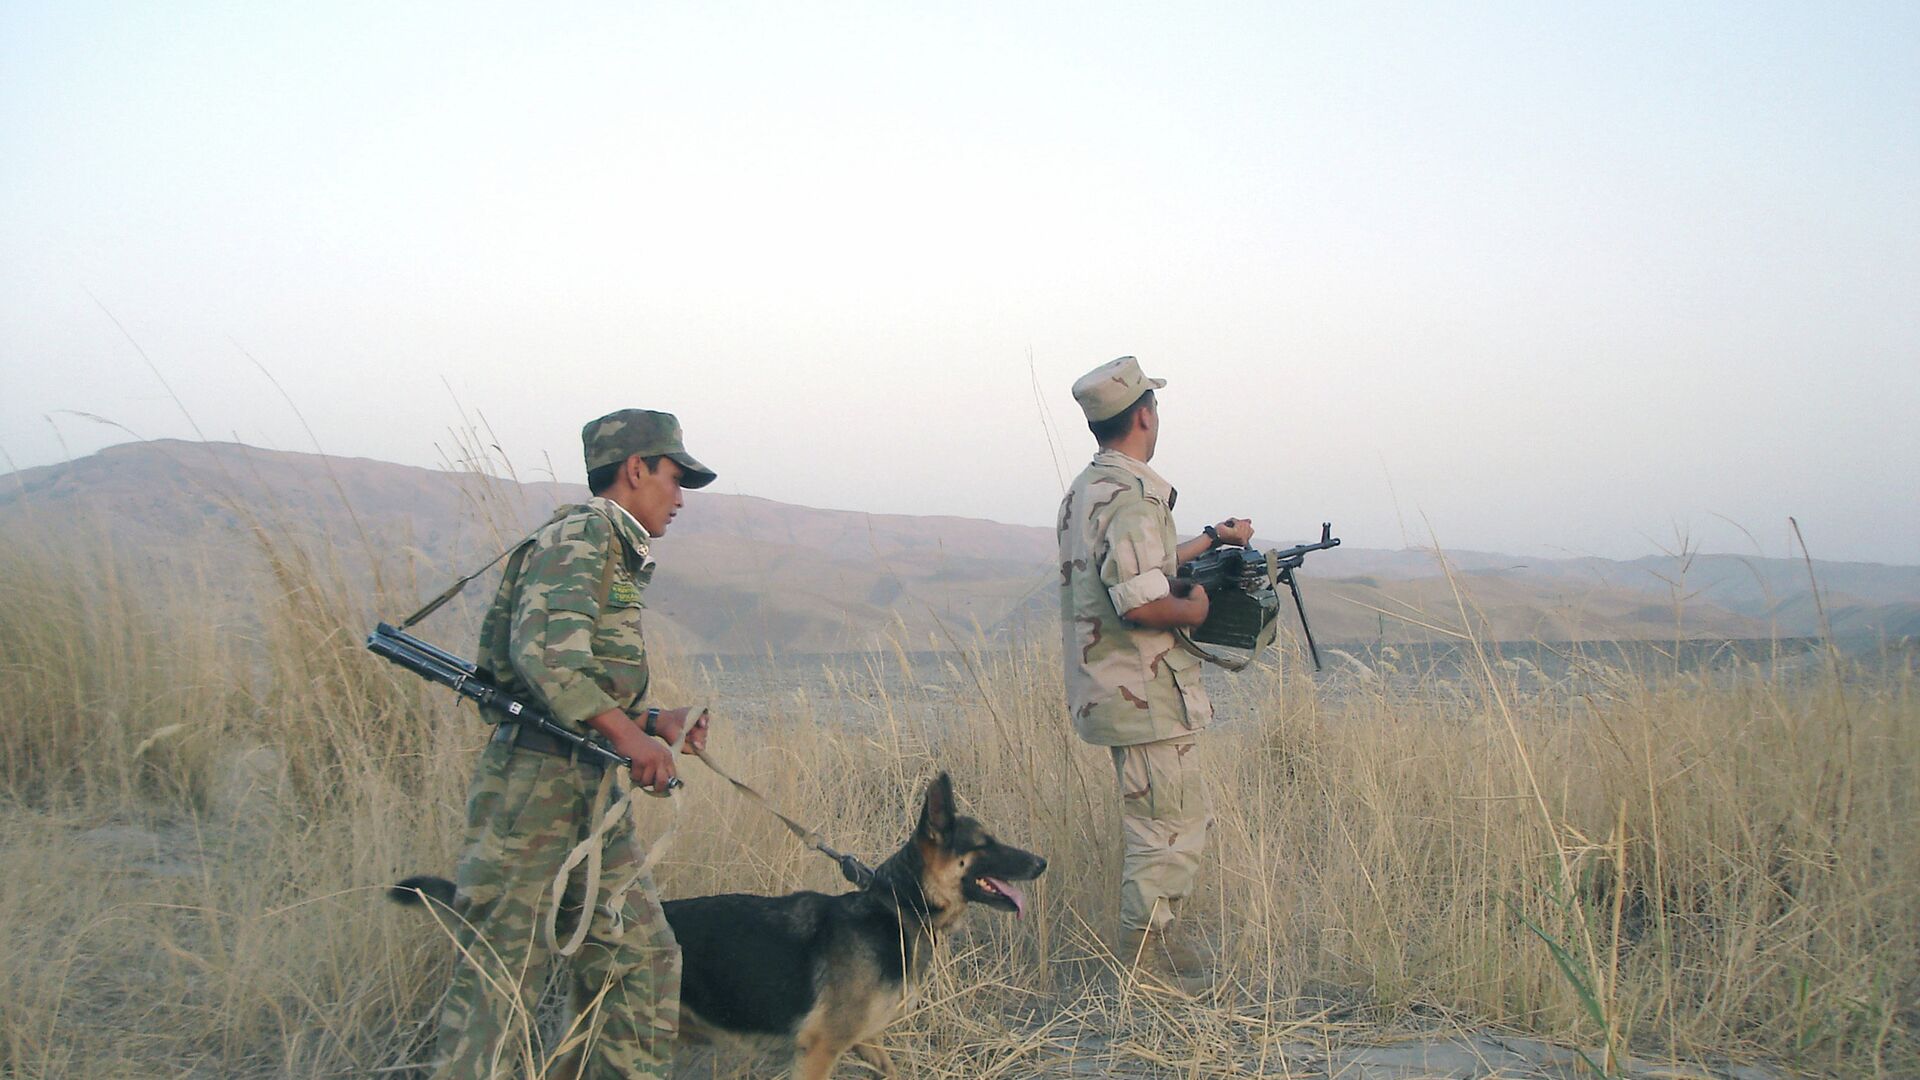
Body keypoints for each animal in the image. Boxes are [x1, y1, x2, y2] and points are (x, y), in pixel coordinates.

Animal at [393, 768, 1052, 1068]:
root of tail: (587, 920)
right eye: (987, 844)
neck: (894, 904)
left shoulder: (864, 1042)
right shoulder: (818, 1051)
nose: (1042, 861)